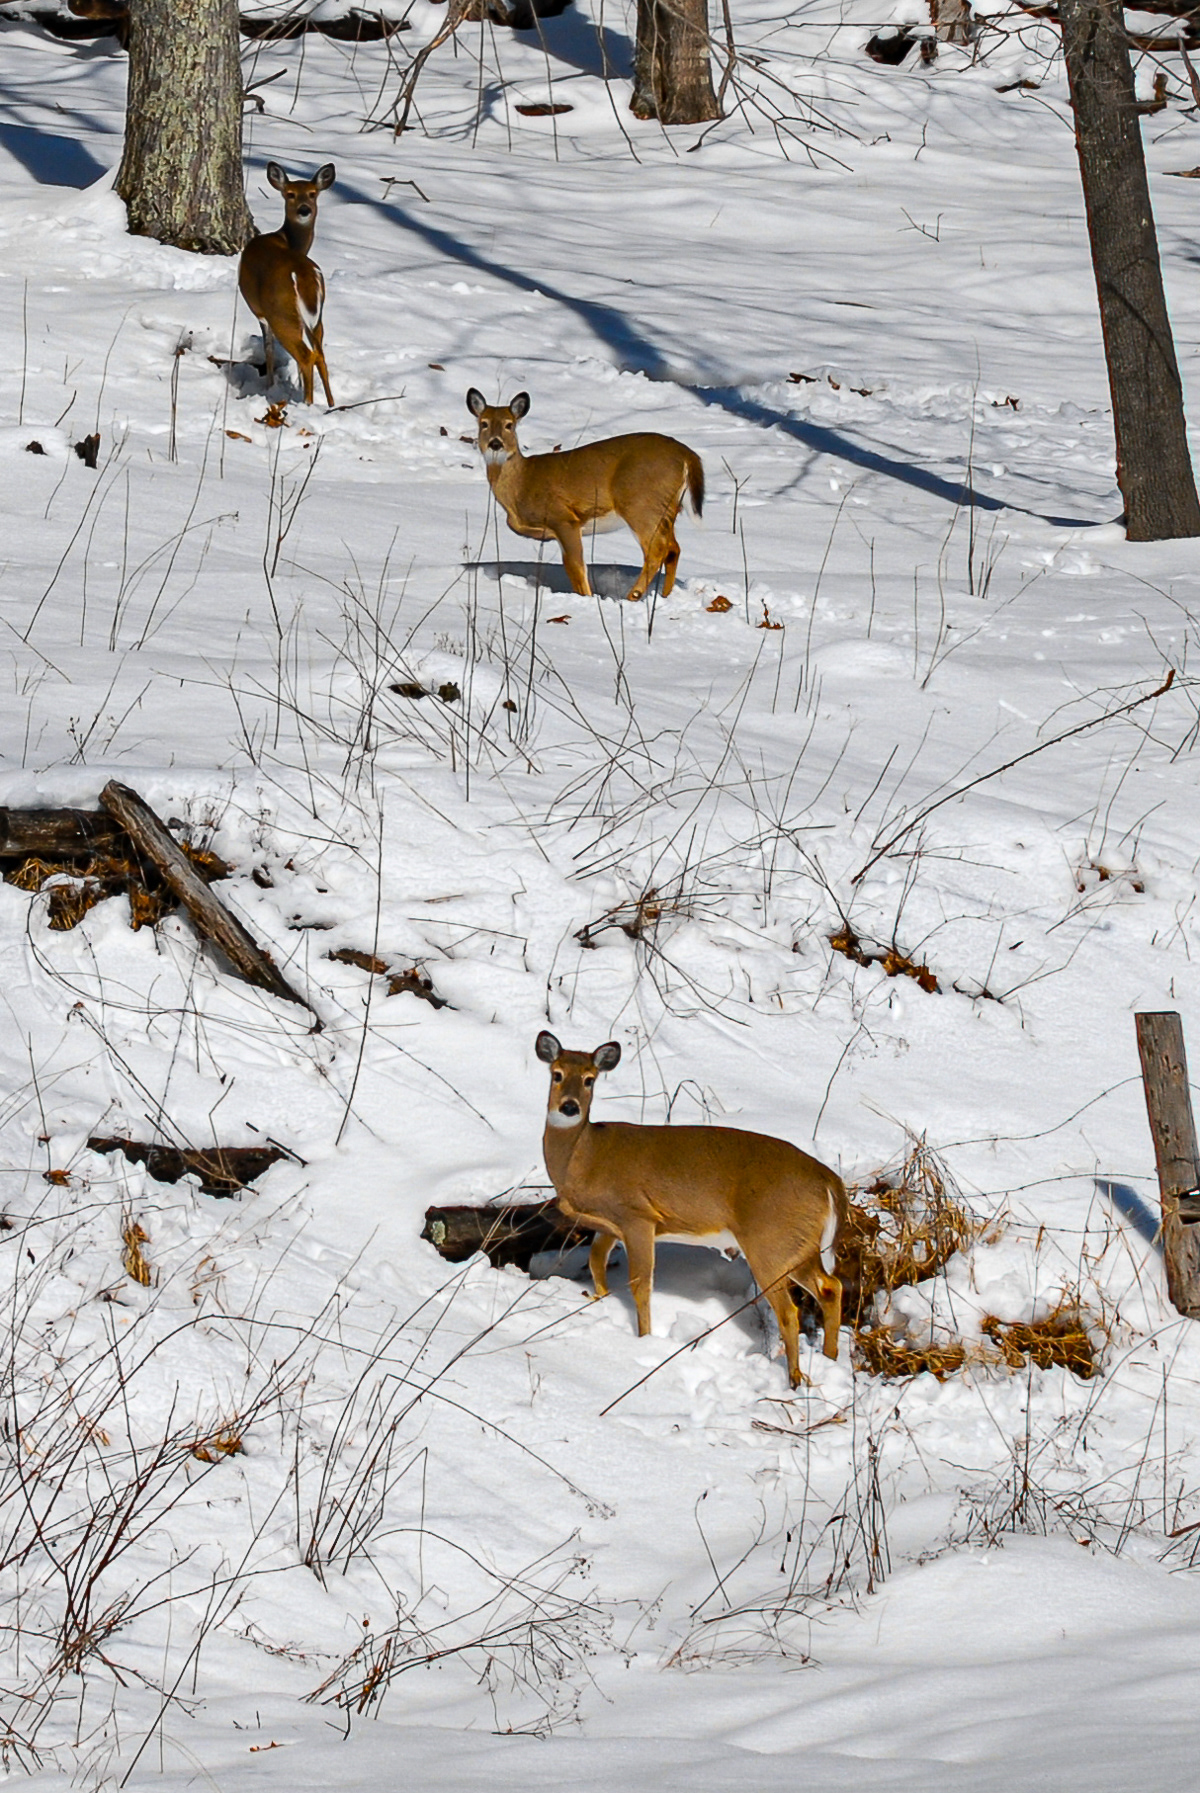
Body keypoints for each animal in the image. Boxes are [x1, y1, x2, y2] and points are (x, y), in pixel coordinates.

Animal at [238, 163, 335, 408]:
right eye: (290, 194)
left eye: (313, 194)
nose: (304, 210)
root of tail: (302, 274)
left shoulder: (262, 313)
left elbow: (269, 349)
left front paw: (270, 386)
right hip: (316, 317)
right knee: (319, 354)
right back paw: (331, 404)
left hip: (281, 313)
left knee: (306, 355)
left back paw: (308, 403)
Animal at [466, 390, 703, 602]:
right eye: (484, 423)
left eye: (509, 424)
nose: (495, 443)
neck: (522, 484)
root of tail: (688, 455)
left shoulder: (563, 517)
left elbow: (575, 566)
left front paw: (586, 597)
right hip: (668, 508)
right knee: (673, 548)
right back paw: (665, 596)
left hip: (641, 504)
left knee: (656, 550)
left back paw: (632, 597)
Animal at [535, 1032, 848, 1386]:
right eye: (557, 1074)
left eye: (590, 1079)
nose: (569, 1107)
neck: (583, 1159)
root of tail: (830, 1180)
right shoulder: (609, 1224)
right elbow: (596, 1262)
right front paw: (597, 1300)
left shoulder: (637, 1215)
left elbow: (640, 1285)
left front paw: (643, 1338)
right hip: (798, 1245)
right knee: (831, 1287)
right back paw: (830, 1359)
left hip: (770, 1241)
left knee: (789, 1310)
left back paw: (794, 1378)